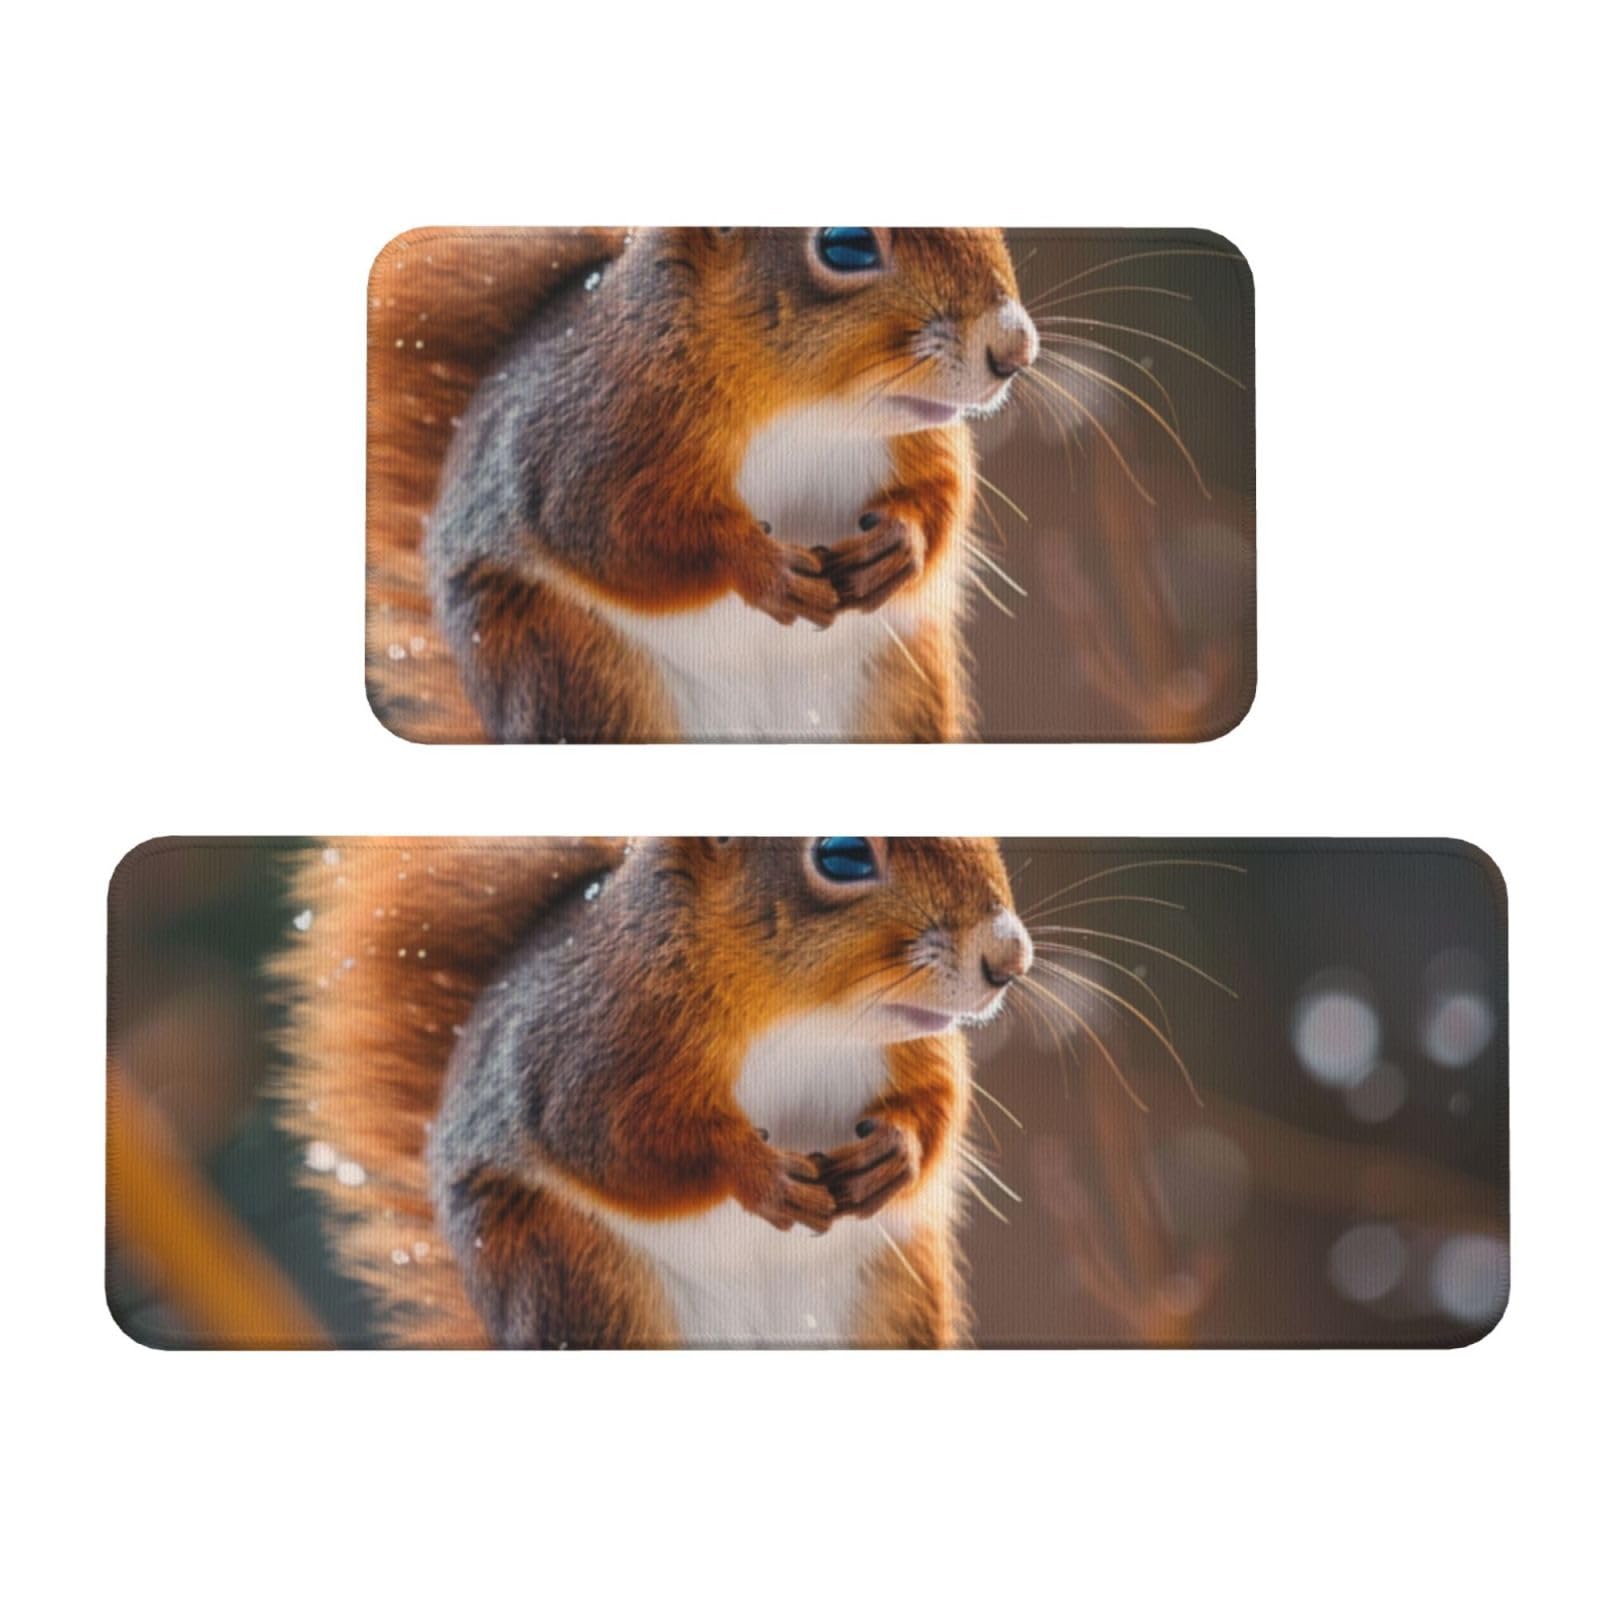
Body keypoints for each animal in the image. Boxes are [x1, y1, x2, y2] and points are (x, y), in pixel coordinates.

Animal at [271, 836, 1034, 1348]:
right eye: (842, 855)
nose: (1010, 961)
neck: (806, 1017)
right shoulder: (586, 1045)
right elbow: (611, 1140)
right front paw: (755, 1171)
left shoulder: (916, 1049)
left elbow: (938, 1106)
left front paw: (895, 1155)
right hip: (576, 1282)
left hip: (895, 1305)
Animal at [367, 228, 1038, 742]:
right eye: (845, 245)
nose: (1015, 352)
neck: (811, 408)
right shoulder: (583, 435)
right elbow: (610, 531)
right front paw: (761, 566)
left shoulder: (921, 436)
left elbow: (944, 494)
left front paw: (900, 546)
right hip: (575, 671)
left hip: (901, 695)